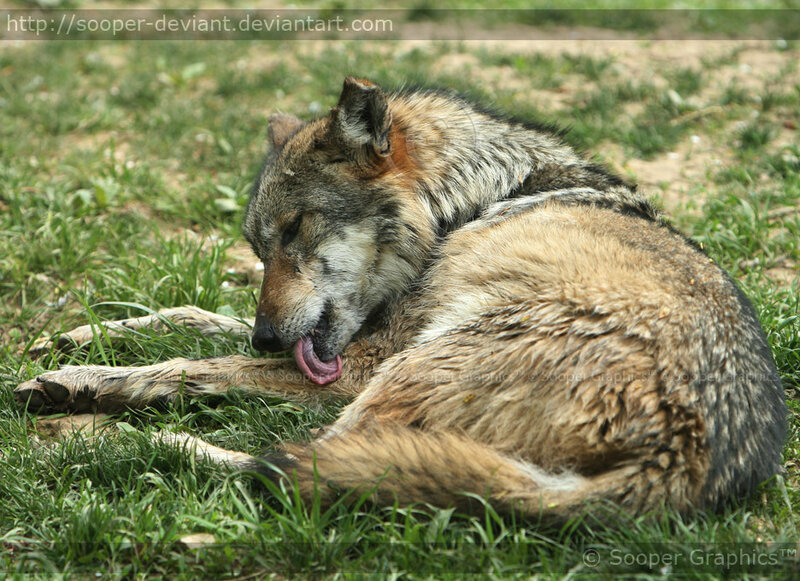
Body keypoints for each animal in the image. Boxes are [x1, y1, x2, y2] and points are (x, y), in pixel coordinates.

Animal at [15, 77, 786, 520]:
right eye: (258, 247)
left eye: (296, 228)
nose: (269, 338)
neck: (466, 203)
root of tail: (689, 458)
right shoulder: (338, 343)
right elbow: (192, 317)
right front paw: (80, 339)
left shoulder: (358, 361)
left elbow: (192, 365)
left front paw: (87, 381)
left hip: (404, 370)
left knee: (297, 462)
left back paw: (141, 444)